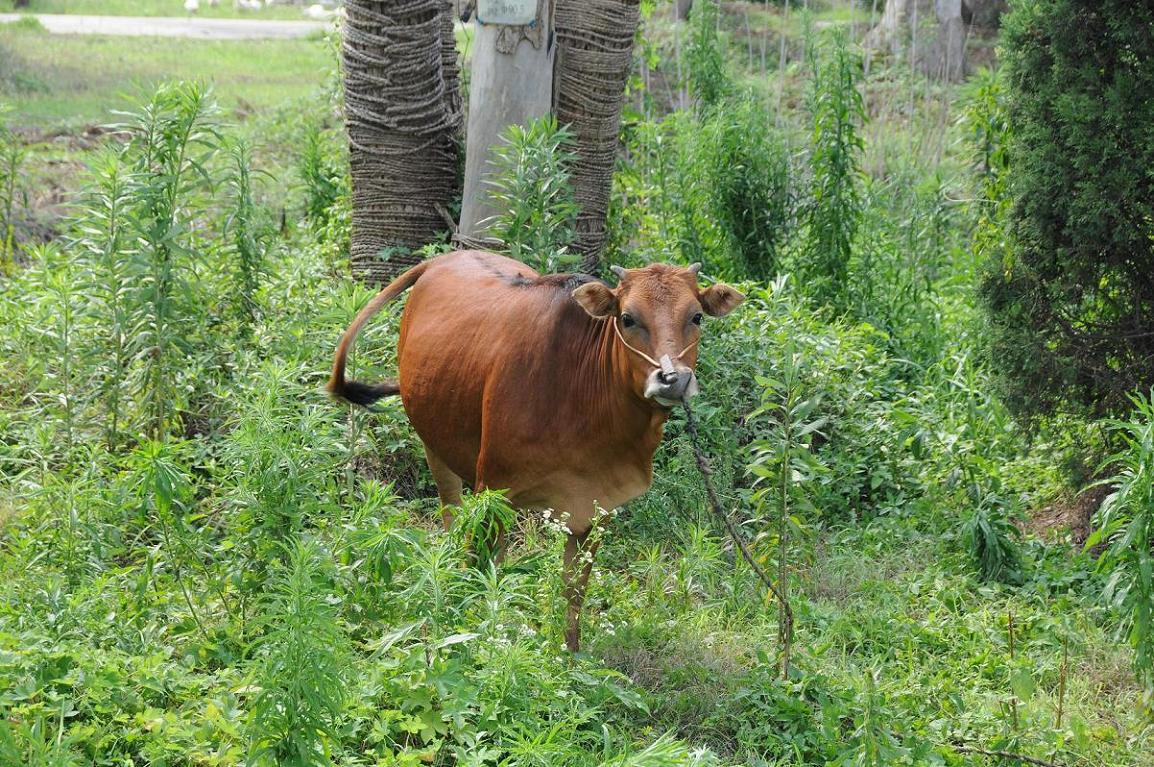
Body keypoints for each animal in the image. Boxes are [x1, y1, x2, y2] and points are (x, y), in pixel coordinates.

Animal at [327, 250, 738, 645]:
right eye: (627, 318)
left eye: (696, 317)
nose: (673, 379)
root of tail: (441, 259)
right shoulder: (492, 487)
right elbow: (476, 565)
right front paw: (470, 636)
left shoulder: (598, 506)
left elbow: (574, 589)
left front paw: (569, 653)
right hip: (436, 447)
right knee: (453, 520)